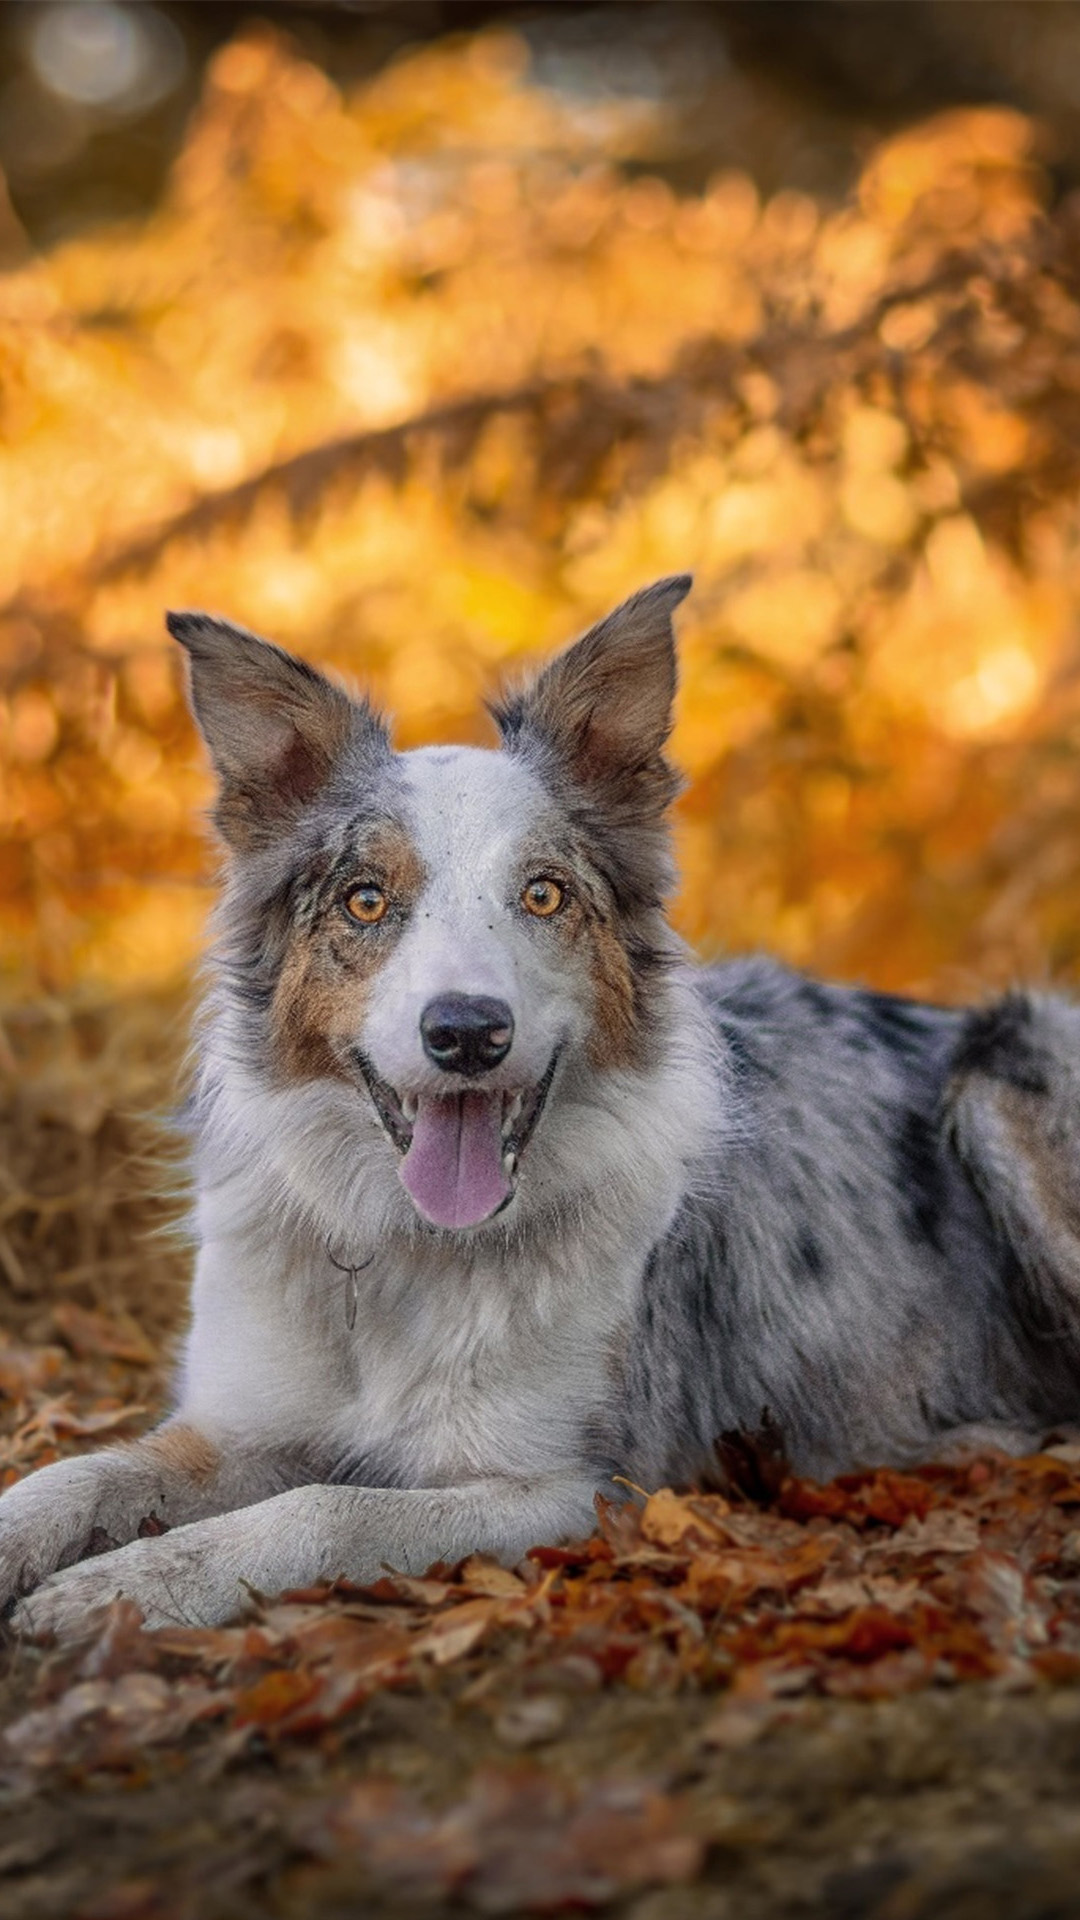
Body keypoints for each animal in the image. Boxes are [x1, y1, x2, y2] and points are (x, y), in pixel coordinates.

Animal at [2, 572, 1076, 1635]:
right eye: (364, 900)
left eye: (546, 895)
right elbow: (77, 1475)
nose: (468, 1033)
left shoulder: (575, 1488)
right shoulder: (236, 1426)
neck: (407, 1251)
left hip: (1003, 1079)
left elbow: (323, 1507)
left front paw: (121, 1589)